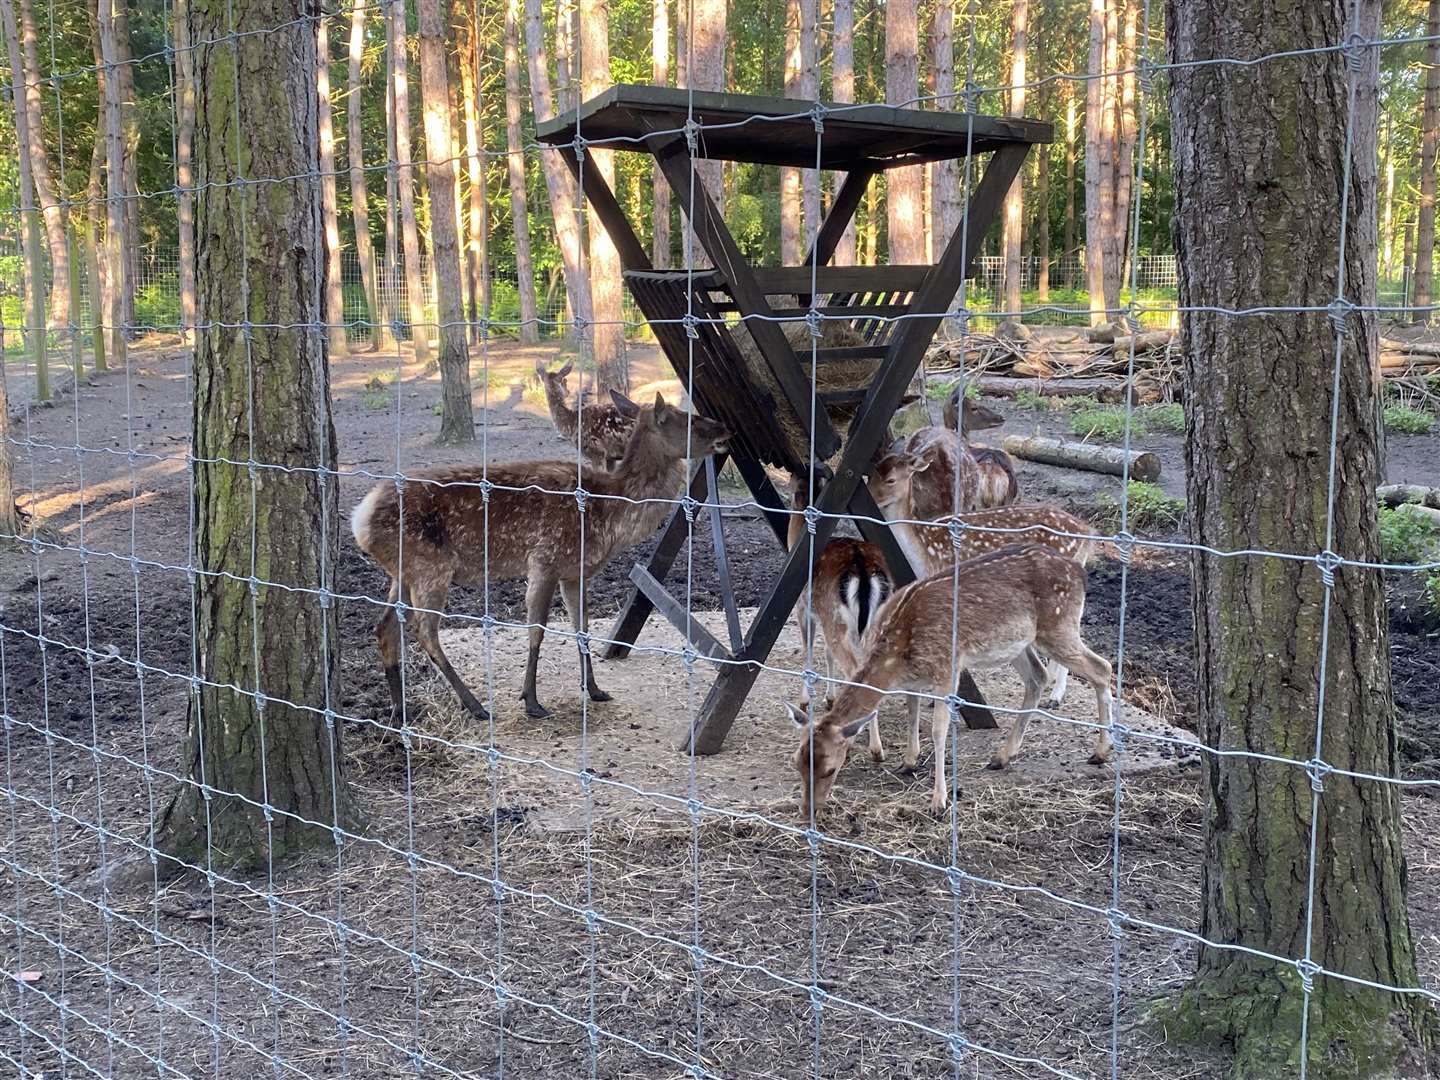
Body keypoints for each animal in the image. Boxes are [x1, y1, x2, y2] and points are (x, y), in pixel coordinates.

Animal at [349, 391, 731, 728]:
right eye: (688, 419)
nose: (726, 429)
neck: (609, 513)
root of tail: (359, 519)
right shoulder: (546, 559)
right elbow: (536, 630)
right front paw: (531, 701)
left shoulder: (575, 572)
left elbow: (582, 627)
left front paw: (594, 689)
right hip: (431, 567)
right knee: (423, 630)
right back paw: (475, 706)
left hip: (404, 572)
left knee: (385, 626)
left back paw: (400, 710)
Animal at [789, 544, 1111, 817]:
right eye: (797, 762)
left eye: (830, 769)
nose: (807, 811)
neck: (899, 650)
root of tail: (1080, 573)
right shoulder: (914, 677)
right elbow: (912, 710)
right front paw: (908, 762)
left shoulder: (947, 666)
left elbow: (939, 730)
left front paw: (939, 801)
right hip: (1018, 642)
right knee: (1038, 676)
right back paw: (1002, 756)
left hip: (1058, 626)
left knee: (1102, 667)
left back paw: (1100, 753)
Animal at [864, 452, 1100, 714]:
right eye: (871, 474)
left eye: (891, 480)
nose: (872, 499)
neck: (923, 551)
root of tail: (1086, 532)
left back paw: (1056, 696)